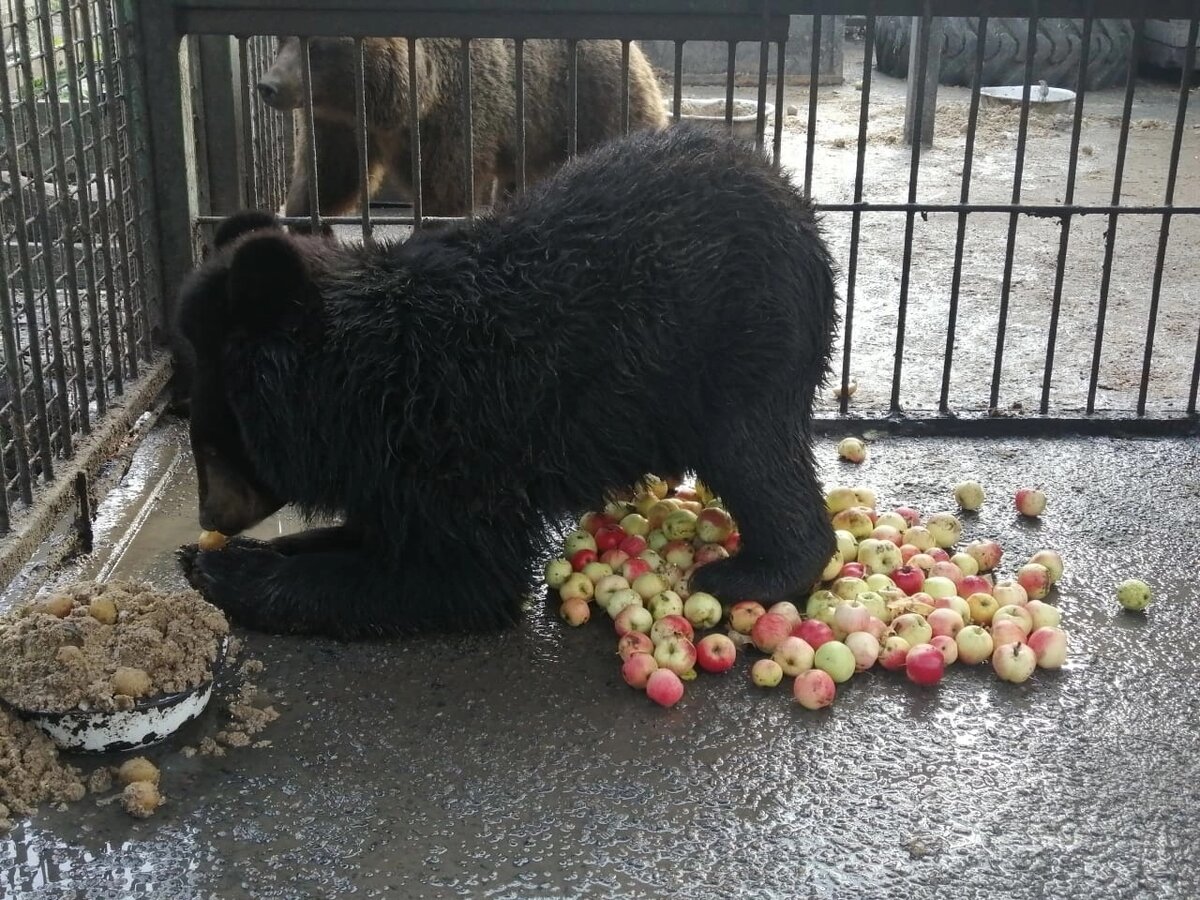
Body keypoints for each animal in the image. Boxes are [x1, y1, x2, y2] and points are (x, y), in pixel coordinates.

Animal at [258, 36, 672, 220]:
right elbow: (327, 176)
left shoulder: (452, 120)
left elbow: (445, 195)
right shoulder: (338, 125)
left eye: (317, 48)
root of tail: (639, 55)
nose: (268, 86)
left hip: (595, 105)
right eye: (282, 41)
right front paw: (299, 217)